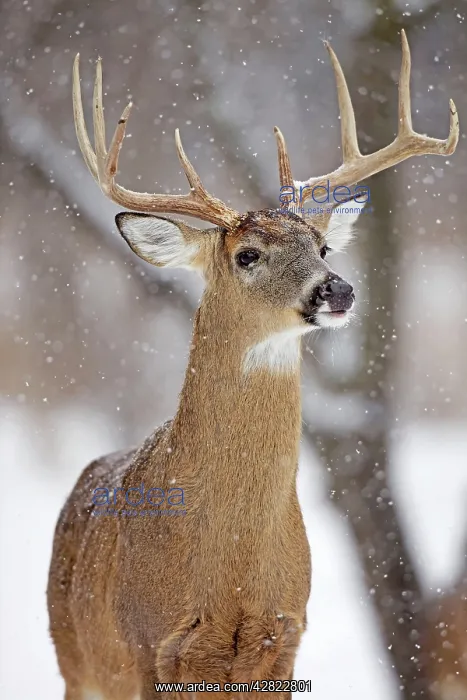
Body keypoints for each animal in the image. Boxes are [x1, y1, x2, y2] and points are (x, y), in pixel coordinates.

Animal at [47, 30, 458, 700]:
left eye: (321, 246)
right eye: (247, 254)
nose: (338, 289)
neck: (233, 572)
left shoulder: (284, 638)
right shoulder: (147, 646)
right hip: (76, 658)